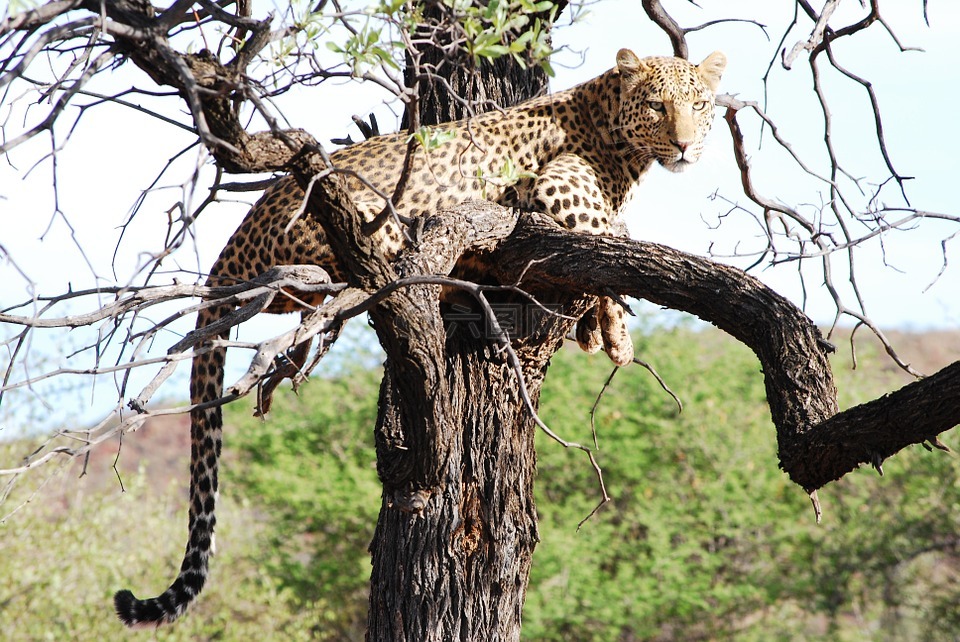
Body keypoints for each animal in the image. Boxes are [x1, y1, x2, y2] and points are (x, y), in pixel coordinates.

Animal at [114, 48, 728, 624]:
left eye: (699, 105)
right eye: (658, 106)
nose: (685, 146)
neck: (621, 144)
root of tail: (230, 246)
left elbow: (615, 242)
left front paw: (600, 327)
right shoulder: (557, 190)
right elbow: (609, 237)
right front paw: (613, 328)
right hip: (368, 219)